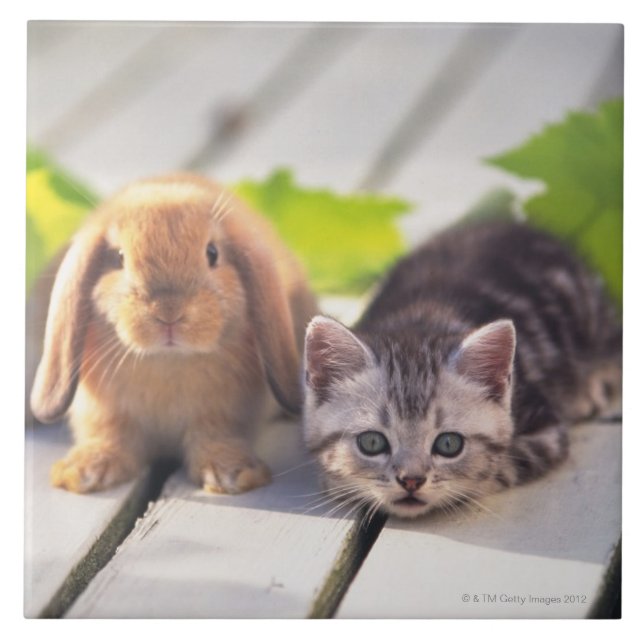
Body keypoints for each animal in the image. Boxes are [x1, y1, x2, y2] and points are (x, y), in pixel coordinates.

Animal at [30, 173, 318, 494]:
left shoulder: (223, 414)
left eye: (212, 253)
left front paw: (232, 475)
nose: (168, 313)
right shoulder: (104, 413)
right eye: (119, 258)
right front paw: (82, 473)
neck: (168, 361)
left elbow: (216, 437)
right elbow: (108, 435)